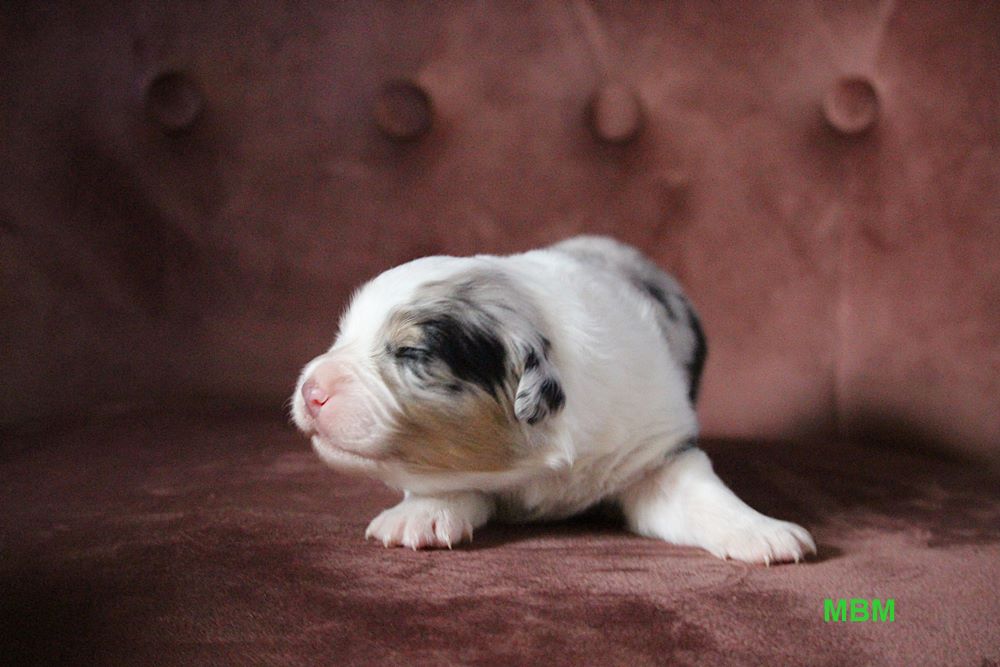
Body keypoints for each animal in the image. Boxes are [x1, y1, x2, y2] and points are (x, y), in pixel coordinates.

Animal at [291, 236, 816, 564]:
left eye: (411, 353)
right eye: (342, 335)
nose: (310, 390)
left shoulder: (656, 451)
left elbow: (702, 494)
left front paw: (766, 533)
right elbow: (444, 482)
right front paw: (417, 517)